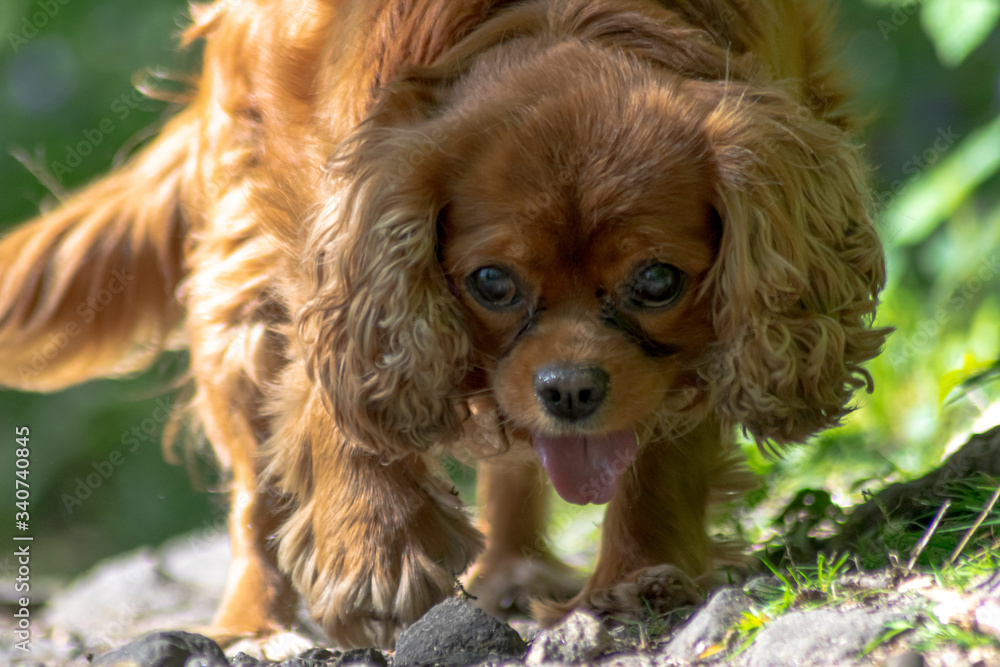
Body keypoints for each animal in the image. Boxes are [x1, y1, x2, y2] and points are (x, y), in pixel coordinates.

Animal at [0, 0, 892, 652]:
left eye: (656, 280)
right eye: (492, 282)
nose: (570, 388)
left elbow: (658, 449)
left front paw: (642, 574)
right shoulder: (338, 215)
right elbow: (338, 395)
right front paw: (378, 552)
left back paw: (514, 567)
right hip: (237, 291)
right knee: (254, 491)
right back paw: (249, 622)